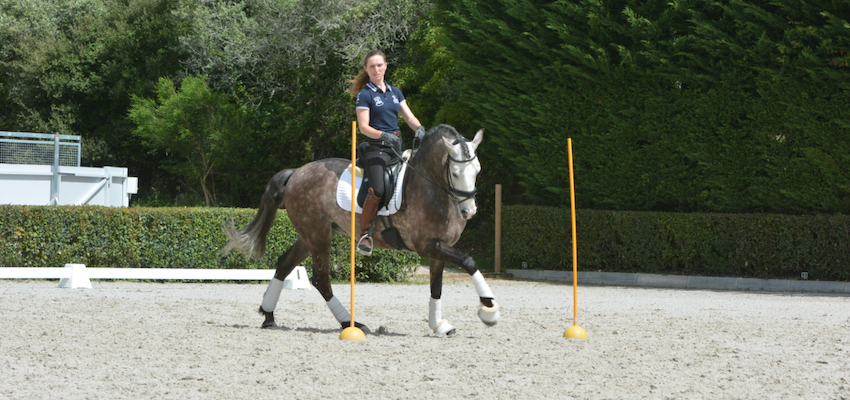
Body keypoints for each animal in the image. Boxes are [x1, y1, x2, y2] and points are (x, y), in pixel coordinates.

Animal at [224, 123, 496, 336]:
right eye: (455, 172)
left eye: (478, 170)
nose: (469, 211)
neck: (431, 187)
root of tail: (296, 172)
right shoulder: (426, 245)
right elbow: (469, 261)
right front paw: (489, 308)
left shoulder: (439, 247)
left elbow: (436, 287)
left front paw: (439, 325)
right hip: (319, 235)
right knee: (321, 279)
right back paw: (350, 324)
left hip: (312, 235)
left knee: (285, 264)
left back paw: (269, 316)